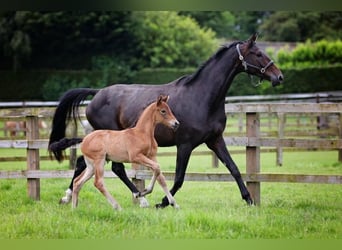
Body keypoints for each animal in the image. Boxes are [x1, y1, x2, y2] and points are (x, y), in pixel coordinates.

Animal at [48, 34, 284, 208]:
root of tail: (97, 94)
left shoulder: (215, 140)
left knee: (84, 162)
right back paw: (141, 198)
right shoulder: (185, 144)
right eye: (258, 53)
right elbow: (179, 177)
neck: (202, 97)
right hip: (110, 140)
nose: (279, 77)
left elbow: (234, 168)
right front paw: (163, 202)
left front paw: (249, 200)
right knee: (115, 167)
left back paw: (68, 197)